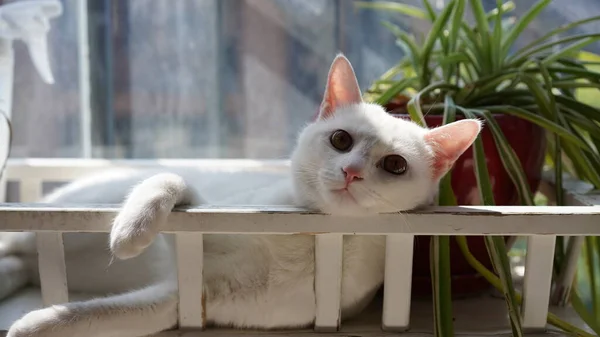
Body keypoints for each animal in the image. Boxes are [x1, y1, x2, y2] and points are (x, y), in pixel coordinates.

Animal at [0, 53, 480, 334]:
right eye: (341, 140)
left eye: (395, 165)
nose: (352, 171)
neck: (304, 242)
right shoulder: (193, 223)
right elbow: (170, 179)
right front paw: (131, 232)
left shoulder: (186, 298)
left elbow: (105, 315)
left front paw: (36, 323)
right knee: (16, 244)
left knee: (17, 262)